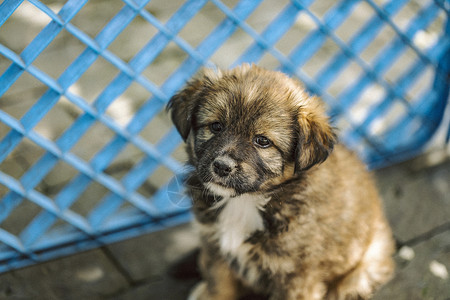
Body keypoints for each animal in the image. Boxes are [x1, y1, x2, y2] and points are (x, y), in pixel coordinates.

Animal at [168, 65, 394, 300]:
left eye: (262, 141)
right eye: (216, 126)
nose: (222, 166)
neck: (246, 202)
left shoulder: (296, 275)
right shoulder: (216, 250)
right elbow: (218, 286)